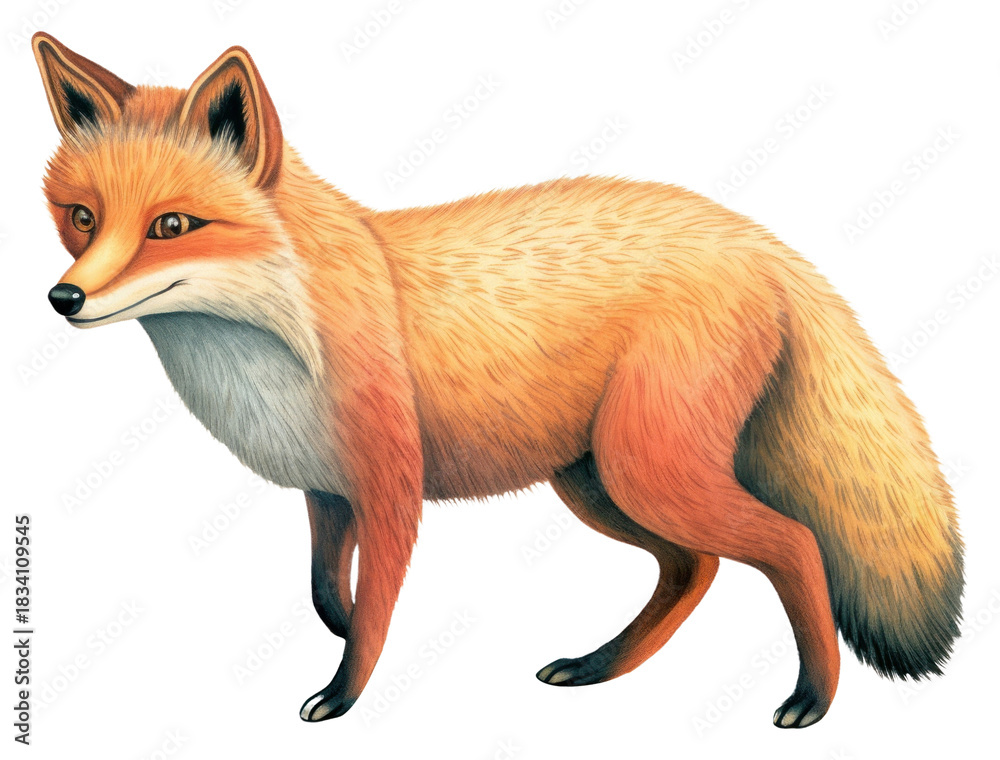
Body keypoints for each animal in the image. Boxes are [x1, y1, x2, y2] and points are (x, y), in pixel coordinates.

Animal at [32, 33, 963, 728]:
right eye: (82, 218)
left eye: (171, 226)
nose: (63, 298)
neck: (276, 339)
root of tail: (757, 238)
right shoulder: (326, 489)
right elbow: (328, 587)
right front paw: (336, 625)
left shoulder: (391, 487)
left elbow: (373, 614)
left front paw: (344, 693)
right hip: (595, 483)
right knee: (694, 568)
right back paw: (599, 669)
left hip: (645, 471)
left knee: (794, 545)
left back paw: (811, 699)